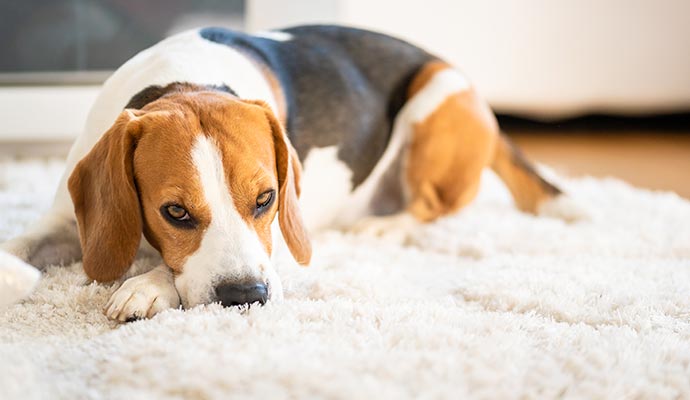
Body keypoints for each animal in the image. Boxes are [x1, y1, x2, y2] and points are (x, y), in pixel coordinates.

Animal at [1, 25, 560, 322]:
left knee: (433, 206)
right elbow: (21, 244)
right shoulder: (66, 221)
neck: (188, 81)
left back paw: (383, 226)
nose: (246, 297)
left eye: (266, 200)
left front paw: (148, 284)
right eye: (175, 212)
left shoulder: (279, 237)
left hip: (435, 99)